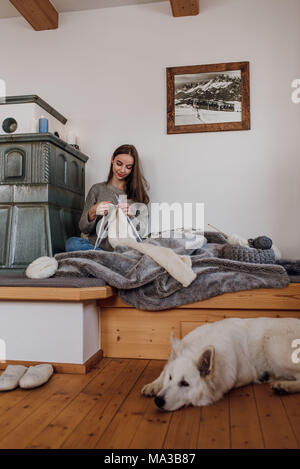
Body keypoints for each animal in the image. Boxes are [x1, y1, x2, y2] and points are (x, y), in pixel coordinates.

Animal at [142, 318, 300, 410]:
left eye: (185, 383)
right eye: (170, 378)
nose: (158, 401)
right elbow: (163, 370)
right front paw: (153, 385)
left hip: (273, 346)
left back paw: (283, 386)